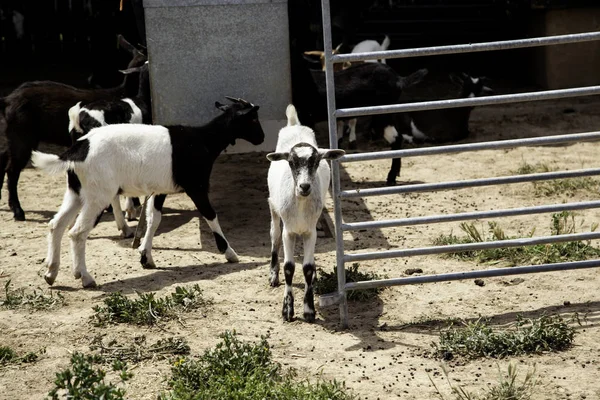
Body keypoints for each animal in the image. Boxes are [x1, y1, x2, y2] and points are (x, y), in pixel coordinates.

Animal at [0, 34, 145, 222]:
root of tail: (7, 99)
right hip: (22, 137)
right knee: (12, 170)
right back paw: (18, 212)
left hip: (14, 135)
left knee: (3, 159)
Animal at [31, 96, 264, 288]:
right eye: (253, 119)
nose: (261, 138)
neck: (203, 140)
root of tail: (78, 149)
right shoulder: (196, 186)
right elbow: (210, 215)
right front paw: (230, 253)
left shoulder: (160, 189)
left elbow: (154, 219)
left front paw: (146, 256)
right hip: (98, 195)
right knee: (77, 232)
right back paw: (85, 277)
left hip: (76, 192)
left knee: (56, 225)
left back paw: (51, 273)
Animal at [266, 104, 344, 322]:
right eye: (291, 162)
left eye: (316, 161)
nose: (304, 186)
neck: (300, 203)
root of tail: (294, 124)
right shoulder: (289, 232)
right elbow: (289, 267)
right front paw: (287, 310)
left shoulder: (310, 231)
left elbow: (307, 268)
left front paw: (309, 310)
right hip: (274, 208)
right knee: (274, 236)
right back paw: (273, 274)